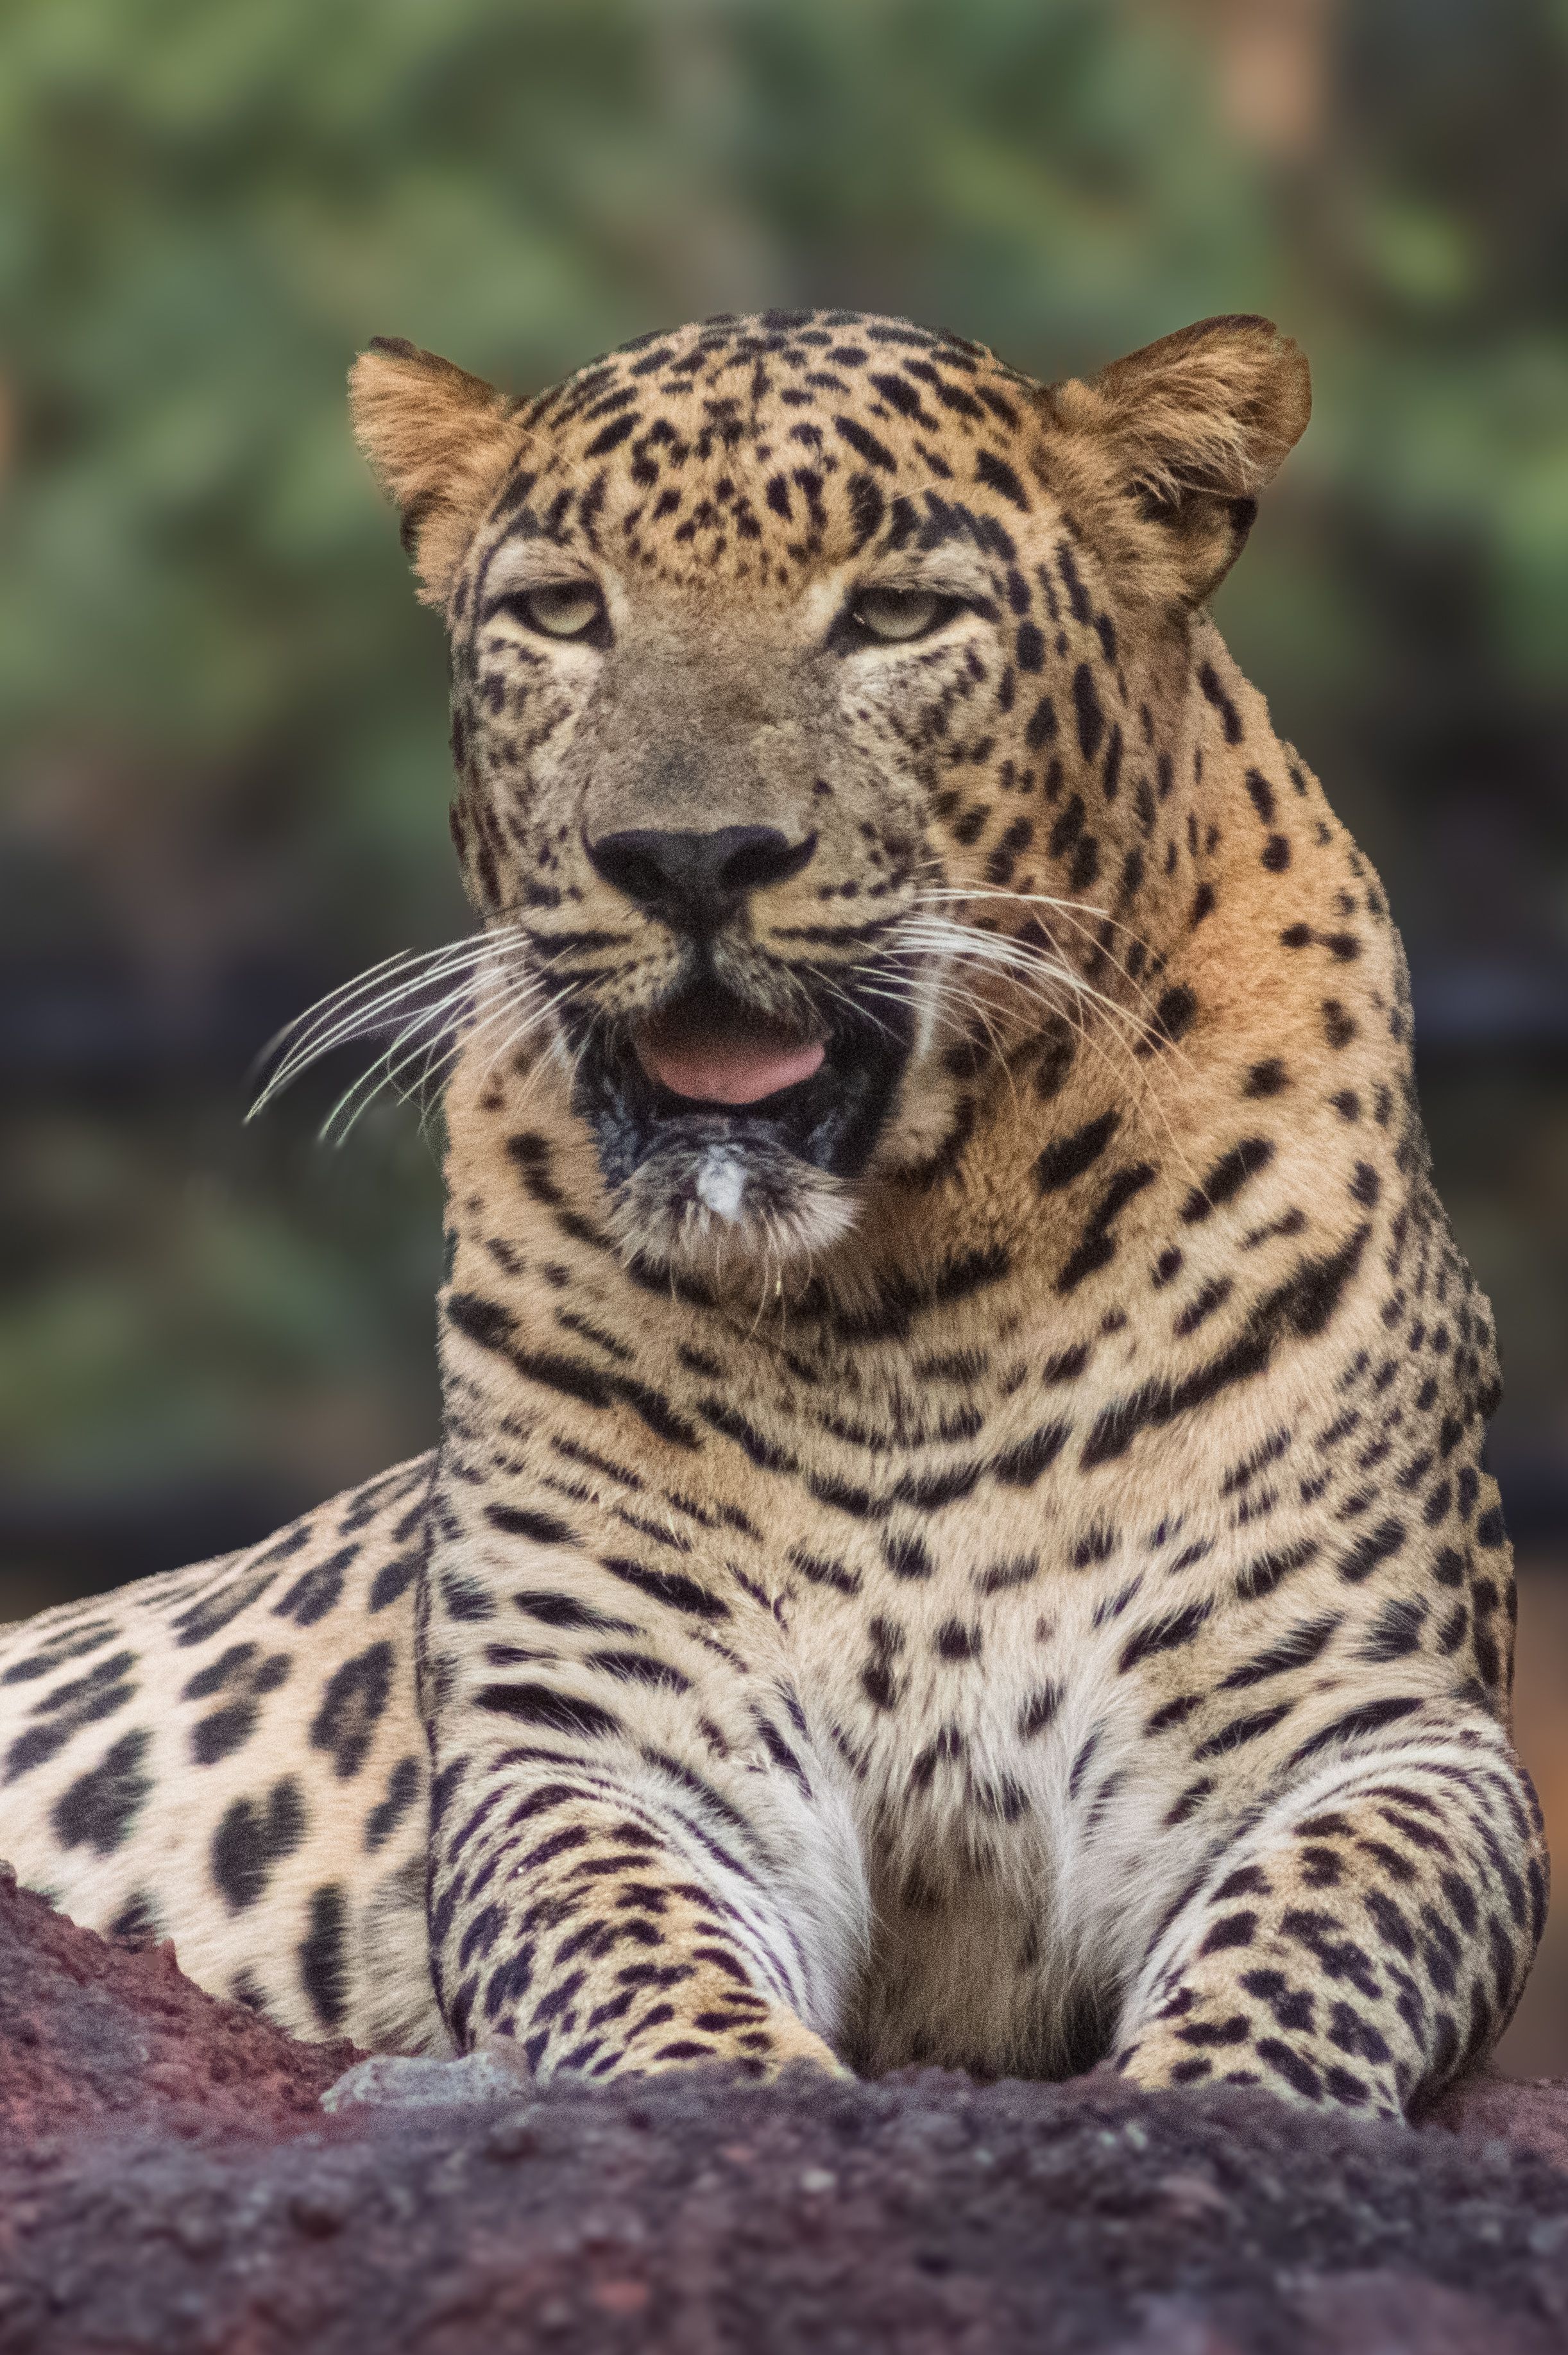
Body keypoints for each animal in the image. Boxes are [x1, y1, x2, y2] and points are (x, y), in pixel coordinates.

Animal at [0, 306, 1545, 2123]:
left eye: (895, 616)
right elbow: (643, 1966)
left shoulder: (1372, 1730)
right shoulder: (596, 1740)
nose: (688, 857)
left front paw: (1198, 2102)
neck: (909, 1296)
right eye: (564, 611)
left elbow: (1302, 1959)